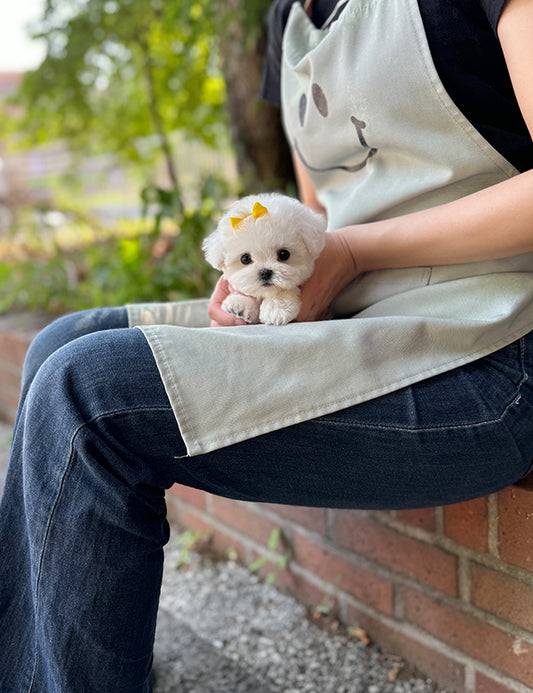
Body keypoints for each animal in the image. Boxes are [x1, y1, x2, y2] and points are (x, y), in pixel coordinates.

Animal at [203, 193, 324, 326]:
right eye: (245, 258)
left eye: (284, 254)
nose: (265, 272)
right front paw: (241, 304)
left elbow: (284, 290)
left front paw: (277, 308)